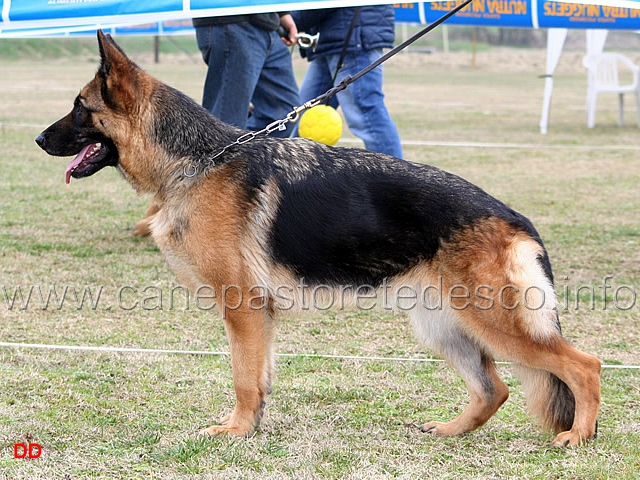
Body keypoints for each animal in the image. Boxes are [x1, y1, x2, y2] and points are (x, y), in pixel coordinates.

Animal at [36, 32, 600, 446]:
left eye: (79, 107)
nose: (38, 138)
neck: (197, 161)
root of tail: (514, 216)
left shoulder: (242, 307)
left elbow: (242, 377)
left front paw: (235, 431)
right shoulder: (258, 315)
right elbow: (259, 378)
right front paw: (252, 427)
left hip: (493, 321)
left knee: (584, 366)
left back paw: (578, 436)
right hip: (444, 325)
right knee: (494, 389)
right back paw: (449, 430)